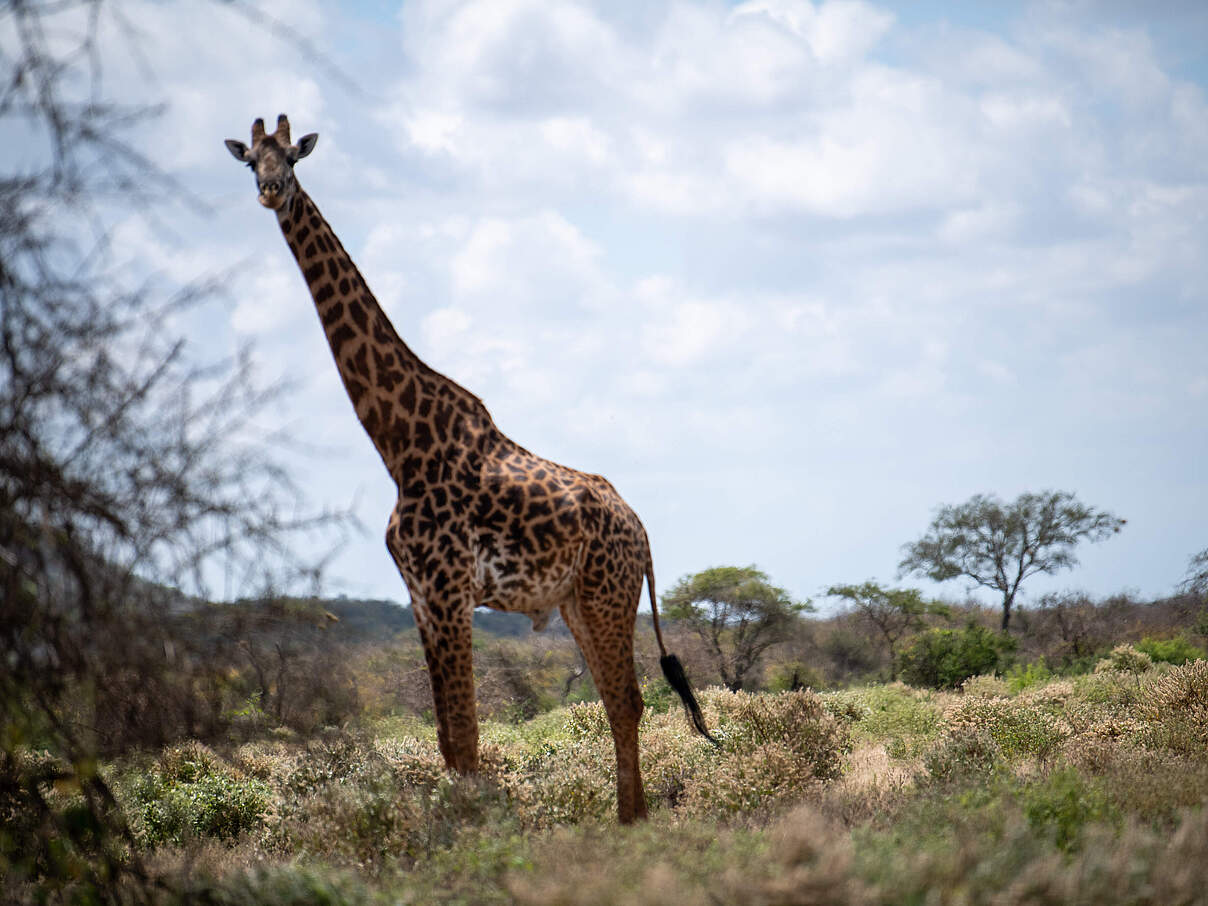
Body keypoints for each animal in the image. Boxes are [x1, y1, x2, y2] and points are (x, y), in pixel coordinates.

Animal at [224, 115, 715, 831]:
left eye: (291, 157)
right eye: (249, 161)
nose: (270, 191)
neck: (398, 444)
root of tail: (643, 531)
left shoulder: (451, 591)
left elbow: (466, 734)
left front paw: (475, 835)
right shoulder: (422, 597)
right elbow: (446, 739)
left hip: (607, 595)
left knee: (626, 700)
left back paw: (632, 828)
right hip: (578, 601)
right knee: (616, 700)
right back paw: (629, 823)